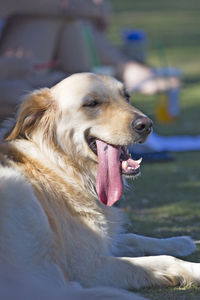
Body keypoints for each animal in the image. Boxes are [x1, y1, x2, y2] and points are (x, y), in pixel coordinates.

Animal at [0, 73, 199, 298]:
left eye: (127, 96)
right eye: (92, 103)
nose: (146, 124)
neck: (65, 168)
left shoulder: (102, 241)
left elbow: (132, 237)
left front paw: (178, 241)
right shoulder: (87, 267)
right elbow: (161, 261)